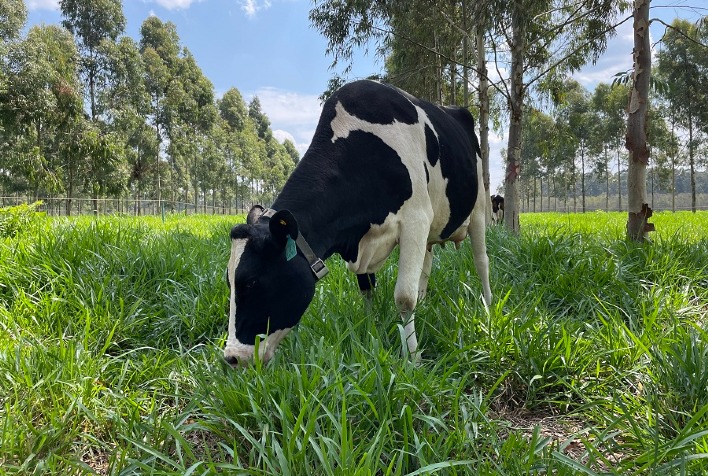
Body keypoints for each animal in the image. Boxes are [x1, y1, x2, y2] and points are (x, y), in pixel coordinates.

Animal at [225, 80, 492, 366]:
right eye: (229, 283)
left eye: (251, 282)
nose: (231, 357)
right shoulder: (366, 237)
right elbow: (367, 289)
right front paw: (370, 332)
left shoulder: (416, 218)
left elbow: (404, 298)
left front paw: (413, 358)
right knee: (426, 267)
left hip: (478, 207)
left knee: (481, 261)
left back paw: (488, 308)